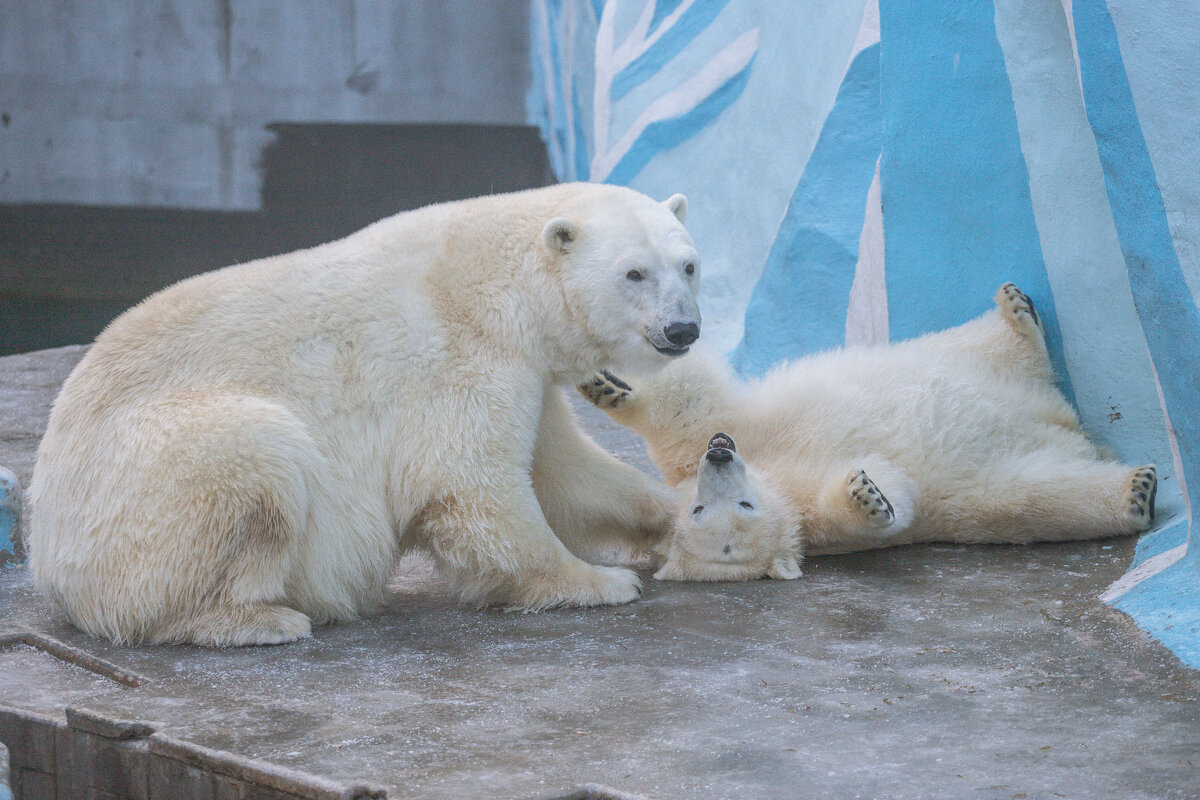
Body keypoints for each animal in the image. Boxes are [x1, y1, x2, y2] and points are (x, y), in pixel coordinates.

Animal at [25, 181, 700, 642]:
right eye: (633, 273)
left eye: (689, 265)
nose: (683, 328)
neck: (502, 283)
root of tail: (46, 546)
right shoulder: (460, 357)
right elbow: (467, 482)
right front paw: (601, 582)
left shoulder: (526, 371)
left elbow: (565, 473)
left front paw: (678, 518)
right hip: (142, 490)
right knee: (256, 457)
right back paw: (257, 618)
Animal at [580, 286, 1152, 582]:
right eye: (706, 512)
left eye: (739, 504)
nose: (719, 460)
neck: (778, 475)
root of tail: (1060, 421)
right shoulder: (812, 518)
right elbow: (882, 499)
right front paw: (867, 495)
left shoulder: (742, 433)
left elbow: (694, 410)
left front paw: (607, 384)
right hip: (1008, 480)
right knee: (1048, 494)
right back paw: (1135, 491)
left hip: (947, 358)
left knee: (974, 343)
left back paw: (1015, 309)